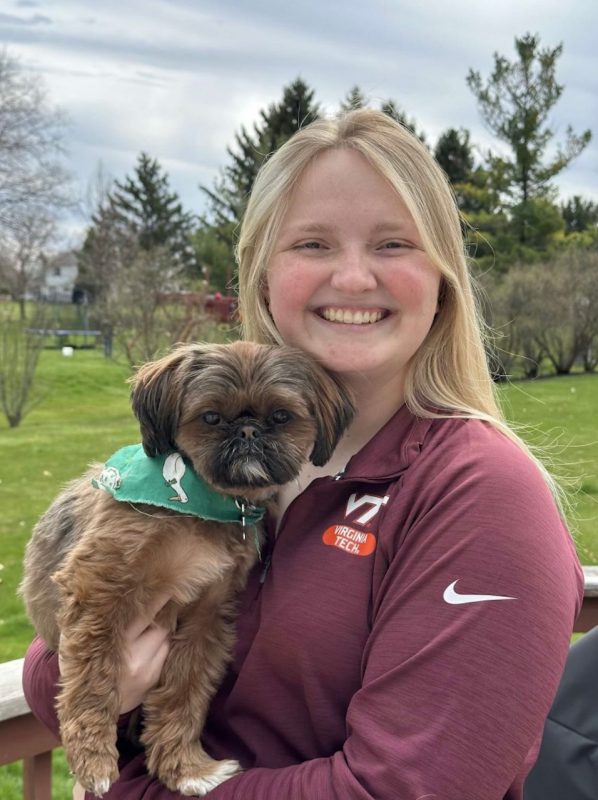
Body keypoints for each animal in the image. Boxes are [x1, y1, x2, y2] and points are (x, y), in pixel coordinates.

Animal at [21, 340, 354, 796]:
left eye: (280, 417)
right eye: (211, 417)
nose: (248, 431)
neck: (204, 503)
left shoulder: (206, 616)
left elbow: (185, 692)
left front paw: (185, 768)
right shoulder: (98, 589)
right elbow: (94, 677)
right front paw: (93, 757)